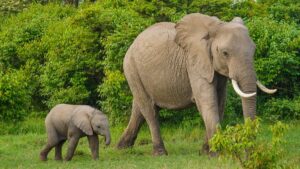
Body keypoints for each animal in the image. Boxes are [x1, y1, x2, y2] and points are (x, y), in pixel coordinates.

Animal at [116, 13, 276, 156]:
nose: (249, 154)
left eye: (254, 50)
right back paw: (159, 154)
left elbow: (220, 103)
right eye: (225, 53)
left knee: (139, 108)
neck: (216, 27)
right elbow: (207, 102)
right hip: (131, 68)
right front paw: (216, 154)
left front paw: (206, 152)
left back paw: (122, 148)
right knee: (149, 110)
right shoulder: (194, 62)